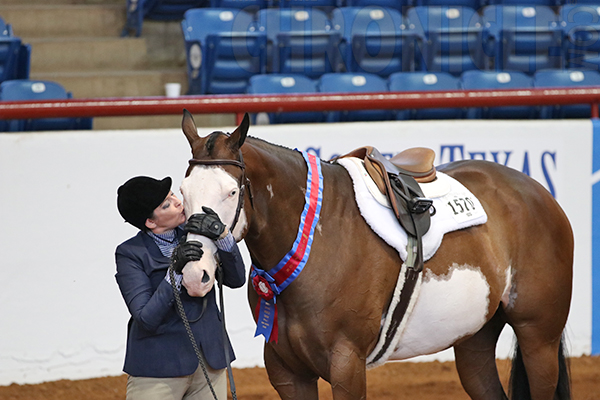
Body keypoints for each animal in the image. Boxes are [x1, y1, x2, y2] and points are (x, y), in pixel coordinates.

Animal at [177, 110, 572, 400]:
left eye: (231, 192)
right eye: (182, 191)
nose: (196, 273)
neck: (314, 240)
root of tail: (537, 193)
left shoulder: (347, 366)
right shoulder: (287, 372)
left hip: (538, 337)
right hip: (475, 339)